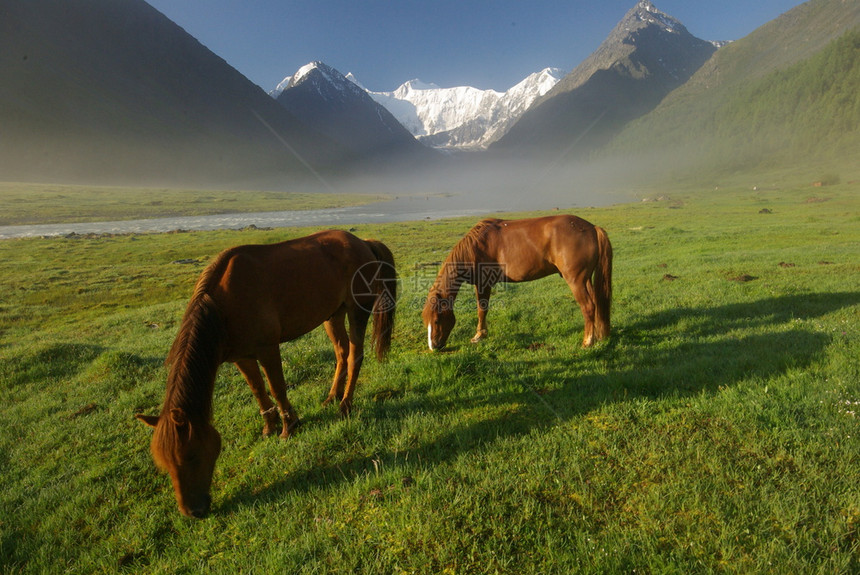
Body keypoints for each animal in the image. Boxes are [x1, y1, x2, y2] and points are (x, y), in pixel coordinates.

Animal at [135, 230, 396, 516]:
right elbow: (258, 390)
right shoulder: (241, 357)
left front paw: (289, 426)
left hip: (357, 311)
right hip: (333, 314)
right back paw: (332, 396)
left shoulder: (268, 349)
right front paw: (269, 426)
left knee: (354, 355)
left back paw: (345, 404)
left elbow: (277, 387)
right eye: (164, 463)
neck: (223, 304)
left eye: (191, 456)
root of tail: (363, 242)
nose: (193, 512)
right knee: (341, 352)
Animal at [424, 216, 612, 352]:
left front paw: (479, 336)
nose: (434, 347)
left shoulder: (484, 283)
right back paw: (597, 337)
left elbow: (481, 310)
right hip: (586, 280)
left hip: (576, 281)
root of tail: (592, 228)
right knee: (596, 304)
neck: (476, 246)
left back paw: (587, 342)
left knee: (588, 307)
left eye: (437, 320)